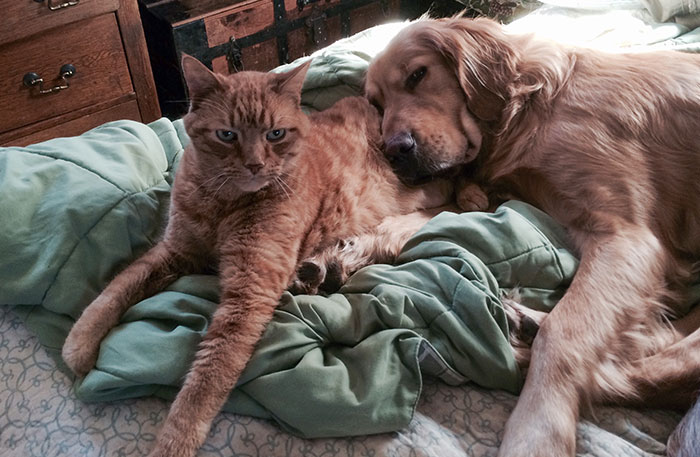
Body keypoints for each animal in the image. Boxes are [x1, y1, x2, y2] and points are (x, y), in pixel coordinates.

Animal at [63, 55, 452, 454]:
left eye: (275, 134)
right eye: (227, 135)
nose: (254, 164)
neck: (223, 202)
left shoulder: (249, 293)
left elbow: (206, 380)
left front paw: (174, 444)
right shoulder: (175, 252)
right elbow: (120, 285)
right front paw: (79, 343)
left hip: (422, 200)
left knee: (413, 222)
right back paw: (318, 270)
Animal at [352, 16, 700, 456]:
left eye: (418, 75)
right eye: (377, 105)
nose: (395, 151)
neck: (533, 109)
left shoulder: (628, 237)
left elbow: (565, 333)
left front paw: (536, 434)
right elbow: (430, 217)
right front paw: (348, 249)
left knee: (631, 375)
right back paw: (520, 323)